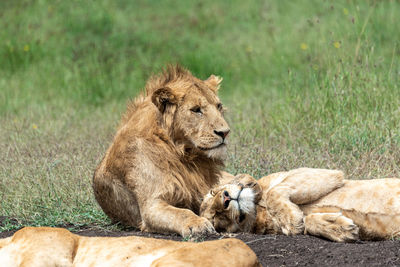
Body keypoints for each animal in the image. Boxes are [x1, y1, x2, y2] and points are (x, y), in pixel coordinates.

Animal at [92, 66, 230, 238]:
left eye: (219, 106)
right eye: (196, 110)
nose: (225, 132)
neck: (184, 154)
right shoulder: (151, 207)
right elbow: (181, 213)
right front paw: (198, 224)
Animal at [202, 170, 400, 243]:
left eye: (212, 192)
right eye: (215, 218)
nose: (225, 199)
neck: (258, 209)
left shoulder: (323, 174)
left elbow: (274, 191)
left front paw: (291, 219)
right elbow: (308, 222)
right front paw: (341, 229)